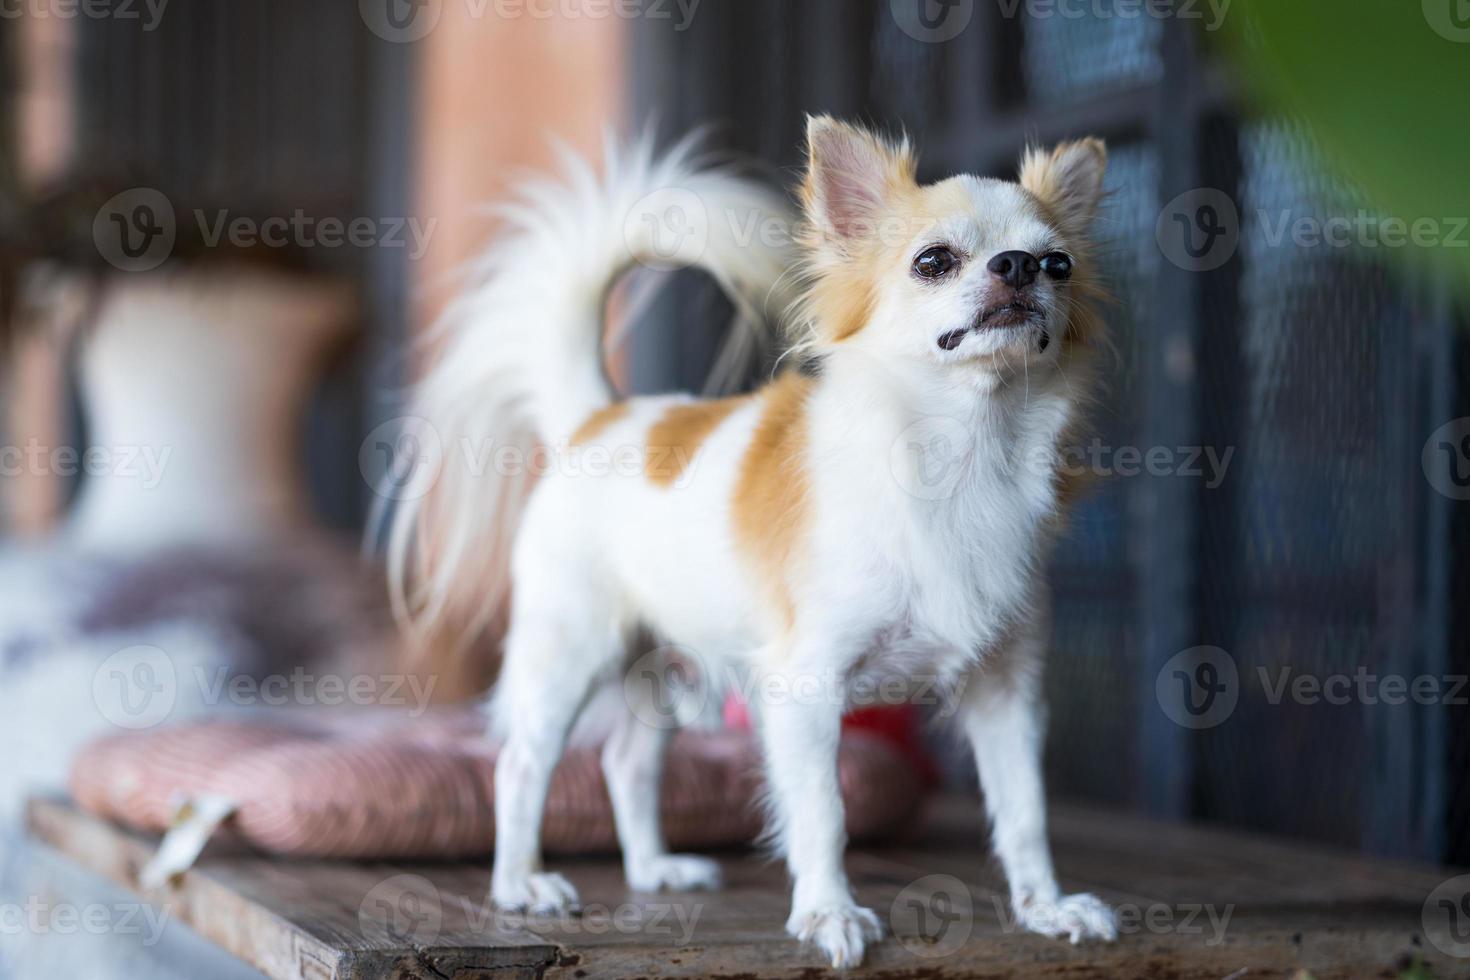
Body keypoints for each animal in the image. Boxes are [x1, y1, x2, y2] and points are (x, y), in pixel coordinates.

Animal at [385, 119, 1117, 969]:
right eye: (933, 261)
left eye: (1059, 264)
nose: (1019, 266)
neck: (963, 453)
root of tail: (598, 417)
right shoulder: (805, 689)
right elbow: (824, 812)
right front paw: (830, 913)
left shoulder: (1008, 694)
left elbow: (1025, 809)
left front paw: (1047, 906)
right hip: (572, 649)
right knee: (521, 763)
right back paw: (520, 883)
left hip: (662, 660)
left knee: (626, 764)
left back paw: (653, 869)